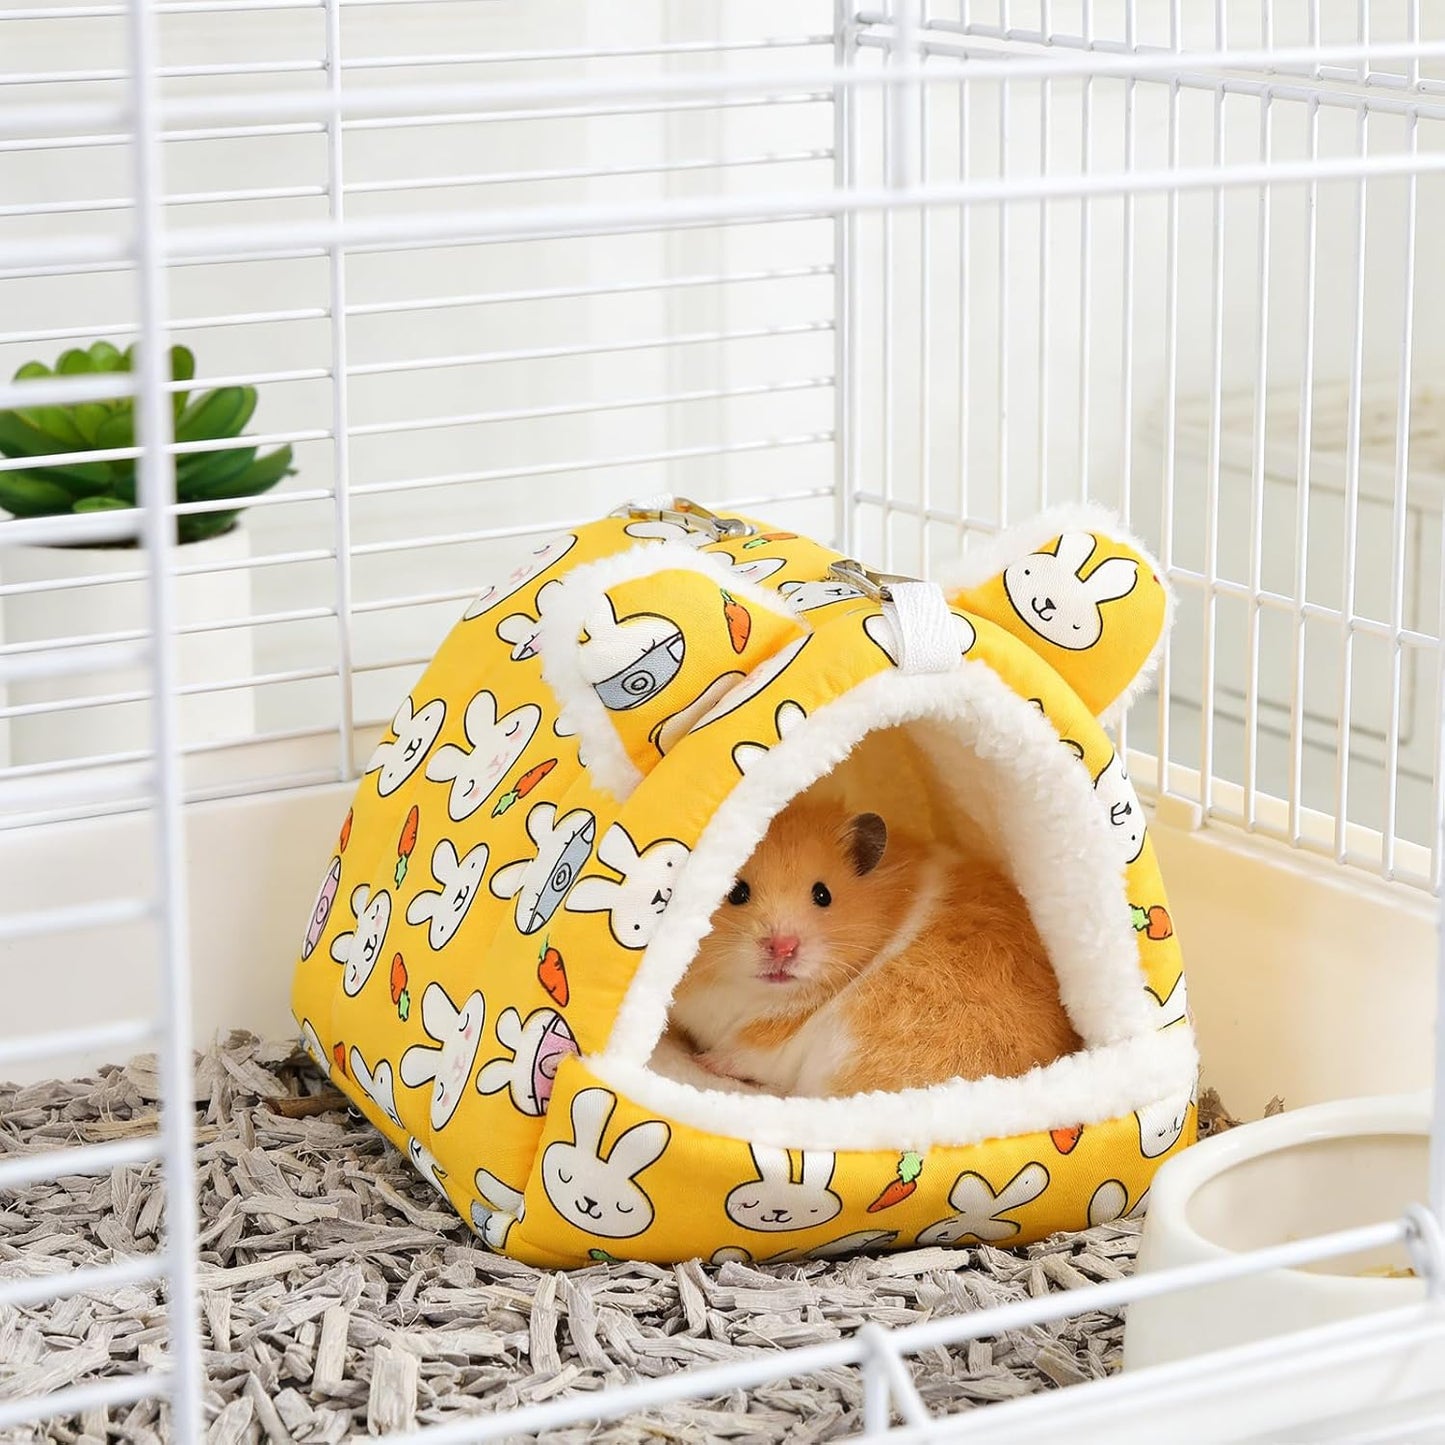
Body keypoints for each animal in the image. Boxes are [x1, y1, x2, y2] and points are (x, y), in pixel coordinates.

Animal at [663, 798, 1081, 1097]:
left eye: (822, 894)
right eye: (737, 892)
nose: (783, 949)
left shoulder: (772, 1042)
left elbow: (745, 1054)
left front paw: (704, 1062)